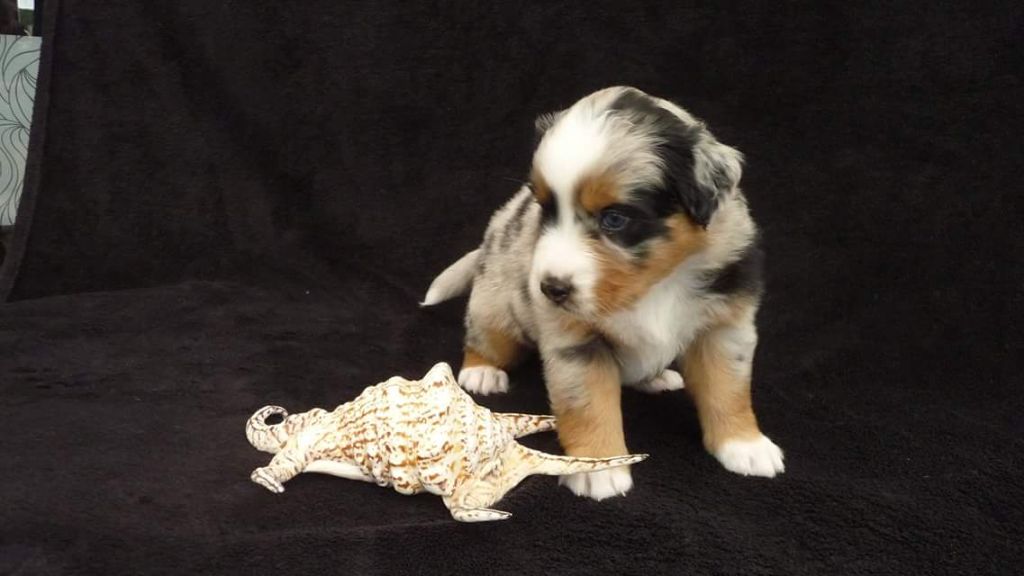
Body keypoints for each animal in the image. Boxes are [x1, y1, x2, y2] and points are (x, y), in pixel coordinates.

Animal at [422, 86, 784, 501]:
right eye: (545, 209)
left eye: (615, 218)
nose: (550, 289)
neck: (654, 285)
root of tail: (493, 231)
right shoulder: (577, 343)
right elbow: (589, 405)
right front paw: (598, 469)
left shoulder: (725, 327)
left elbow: (729, 389)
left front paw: (744, 445)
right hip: (496, 302)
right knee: (487, 336)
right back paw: (482, 372)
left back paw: (656, 378)